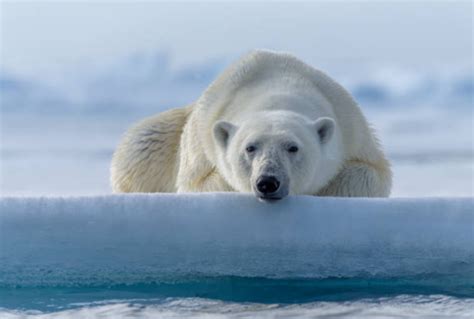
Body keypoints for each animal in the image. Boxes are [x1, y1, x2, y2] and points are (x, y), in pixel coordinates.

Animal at [112, 50, 392, 199]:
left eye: (293, 147)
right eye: (250, 147)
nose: (267, 182)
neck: (276, 87)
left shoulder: (350, 124)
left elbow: (371, 173)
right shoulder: (204, 132)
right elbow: (199, 184)